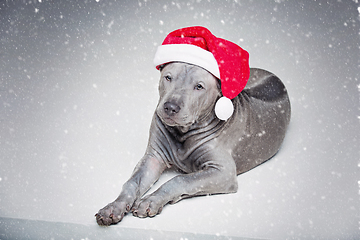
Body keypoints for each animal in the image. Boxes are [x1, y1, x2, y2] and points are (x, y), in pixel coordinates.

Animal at [95, 62, 290, 225]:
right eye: (168, 77)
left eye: (199, 86)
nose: (170, 107)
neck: (183, 133)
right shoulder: (153, 158)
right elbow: (132, 182)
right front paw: (114, 207)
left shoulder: (223, 172)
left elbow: (180, 179)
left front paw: (152, 200)